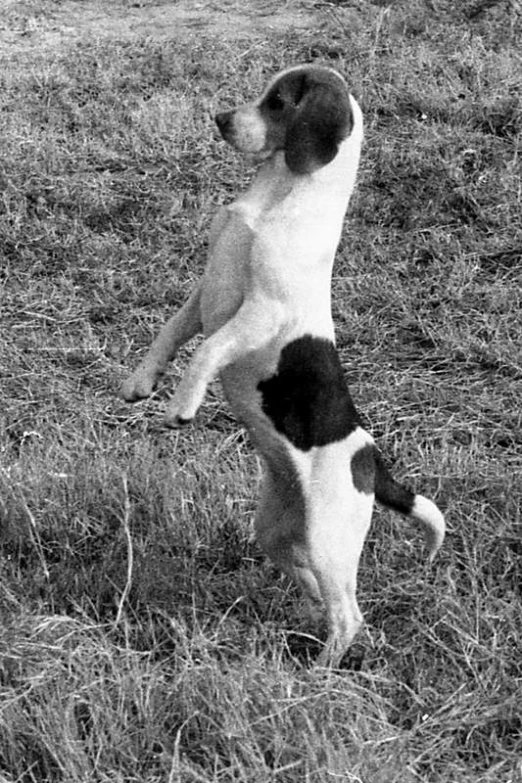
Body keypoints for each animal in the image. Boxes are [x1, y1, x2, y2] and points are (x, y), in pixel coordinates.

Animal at [122, 66, 442, 668]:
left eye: (277, 102)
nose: (220, 119)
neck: (278, 195)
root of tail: (371, 463)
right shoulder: (204, 294)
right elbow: (171, 333)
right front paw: (142, 381)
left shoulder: (259, 313)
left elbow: (205, 351)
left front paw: (183, 405)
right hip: (276, 527)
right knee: (308, 579)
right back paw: (311, 614)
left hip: (329, 536)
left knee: (350, 615)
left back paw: (321, 671)